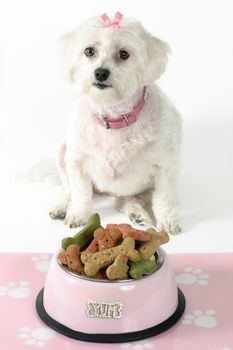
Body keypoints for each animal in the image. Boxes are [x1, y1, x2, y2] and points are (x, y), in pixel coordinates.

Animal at [50, 12, 182, 234]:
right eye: (89, 51)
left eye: (124, 54)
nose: (101, 73)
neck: (114, 117)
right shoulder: (75, 160)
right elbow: (80, 192)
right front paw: (77, 213)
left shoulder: (166, 165)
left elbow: (165, 198)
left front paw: (168, 220)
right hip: (62, 154)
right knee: (70, 190)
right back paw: (62, 206)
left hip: (141, 189)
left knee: (126, 201)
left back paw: (137, 214)